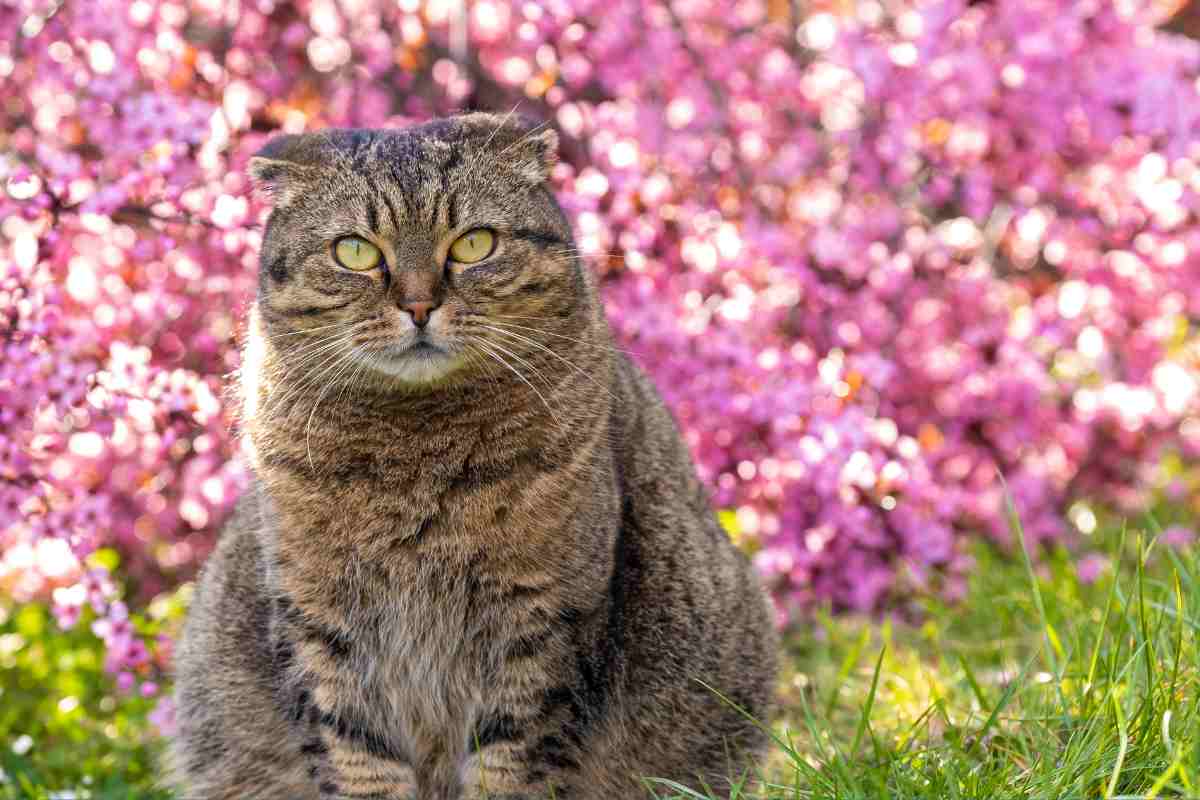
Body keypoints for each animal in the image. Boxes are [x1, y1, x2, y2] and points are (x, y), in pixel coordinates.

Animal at [174, 113, 782, 800]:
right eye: (354, 251)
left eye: (473, 244)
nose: (418, 305)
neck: (414, 455)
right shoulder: (318, 622)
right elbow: (357, 759)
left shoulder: (543, 619)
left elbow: (512, 761)